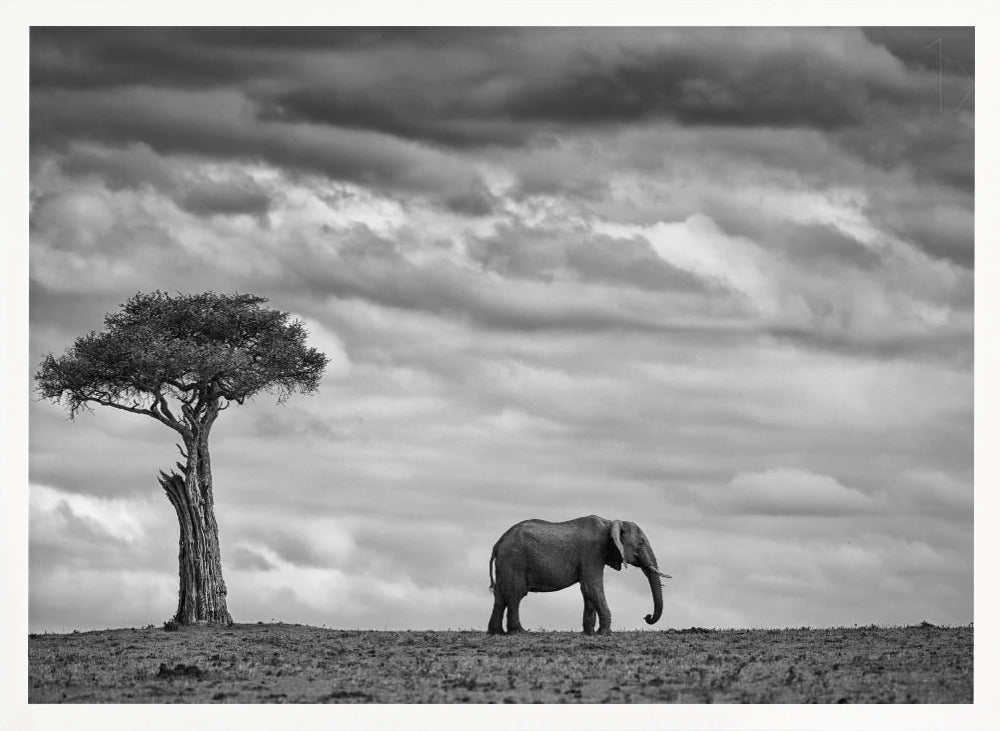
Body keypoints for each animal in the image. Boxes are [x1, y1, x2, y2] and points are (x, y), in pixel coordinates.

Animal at [487, 515, 670, 635]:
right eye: (641, 542)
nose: (647, 616)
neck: (610, 523)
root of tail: (498, 543)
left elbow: (587, 591)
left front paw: (589, 633)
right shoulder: (592, 552)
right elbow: (592, 587)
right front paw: (606, 633)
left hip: (505, 563)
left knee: (500, 596)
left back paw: (496, 633)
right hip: (514, 560)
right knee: (515, 594)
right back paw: (519, 632)